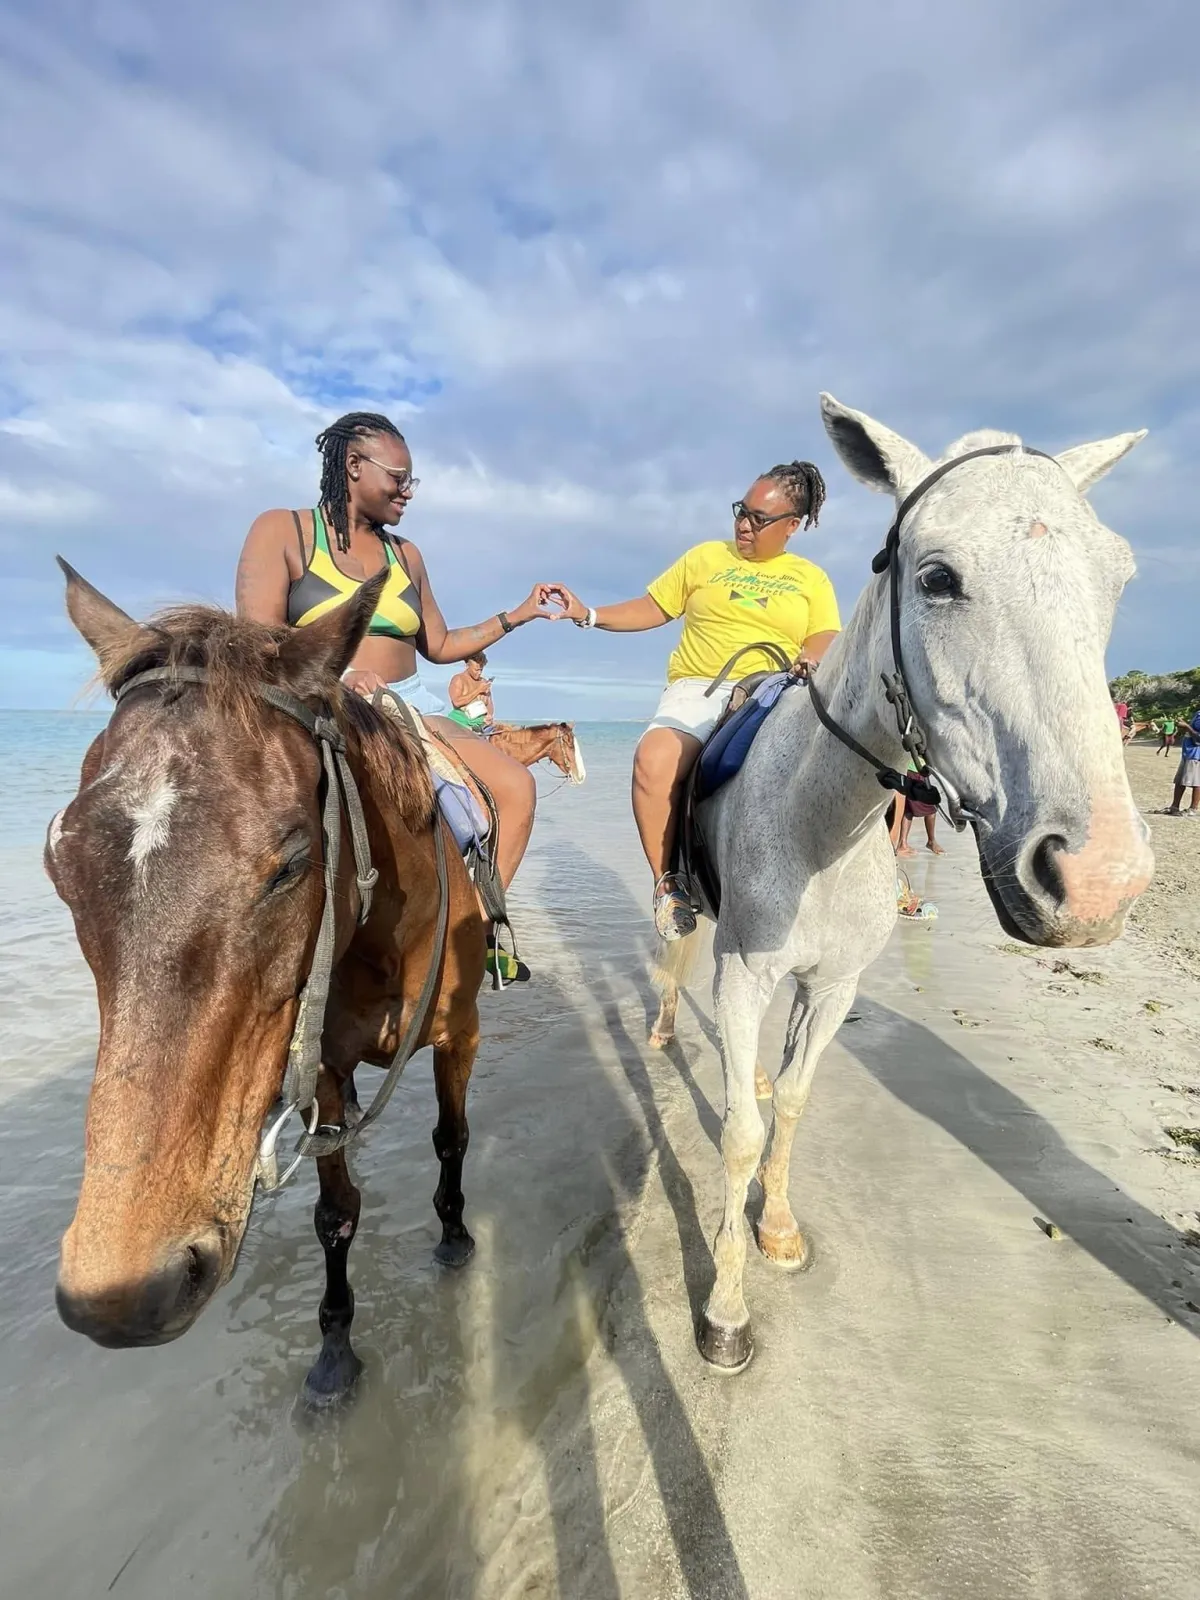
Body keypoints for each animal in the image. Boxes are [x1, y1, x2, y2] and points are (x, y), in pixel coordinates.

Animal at [45, 560, 489, 1401]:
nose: (122, 1295)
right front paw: (335, 1348)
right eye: (59, 863)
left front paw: (453, 1235)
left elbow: (452, 1139)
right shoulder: (321, 1067)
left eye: (291, 864)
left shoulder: (460, 1035)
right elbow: (335, 1212)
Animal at [659, 393, 1158, 1369]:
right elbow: (737, 1136)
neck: (820, 822)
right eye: (938, 578)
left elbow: (793, 1105)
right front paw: (727, 1313)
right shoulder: (743, 977)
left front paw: (778, 1229)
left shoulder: (831, 986)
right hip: (689, 919)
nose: (1098, 882)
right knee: (670, 964)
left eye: (1118, 577)